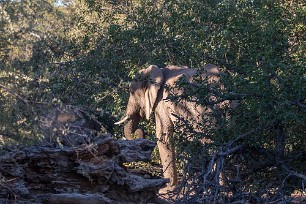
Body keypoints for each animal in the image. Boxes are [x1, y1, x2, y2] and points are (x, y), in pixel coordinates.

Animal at [115, 63, 232, 191]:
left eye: (132, 92)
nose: (140, 131)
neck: (159, 72)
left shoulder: (161, 101)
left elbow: (163, 135)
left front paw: (167, 189)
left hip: (204, 110)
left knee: (211, 143)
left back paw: (221, 189)